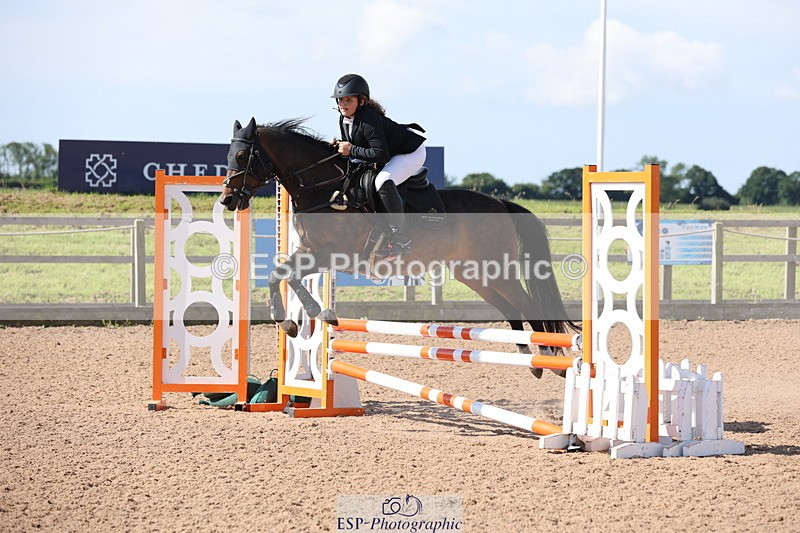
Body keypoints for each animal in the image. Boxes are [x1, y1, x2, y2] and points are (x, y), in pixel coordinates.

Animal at [219, 117, 576, 369]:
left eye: (242, 155)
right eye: (229, 155)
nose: (226, 200)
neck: (327, 190)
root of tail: (500, 203)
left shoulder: (333, 255)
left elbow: (288, 276)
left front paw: (317, 313)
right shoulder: (308, 252)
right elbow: (278, 274)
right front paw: (291, 323)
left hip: (495, 269)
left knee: (525, 303)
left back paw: (548, 354)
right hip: (474, 274)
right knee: (512, 306)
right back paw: (528, 357)